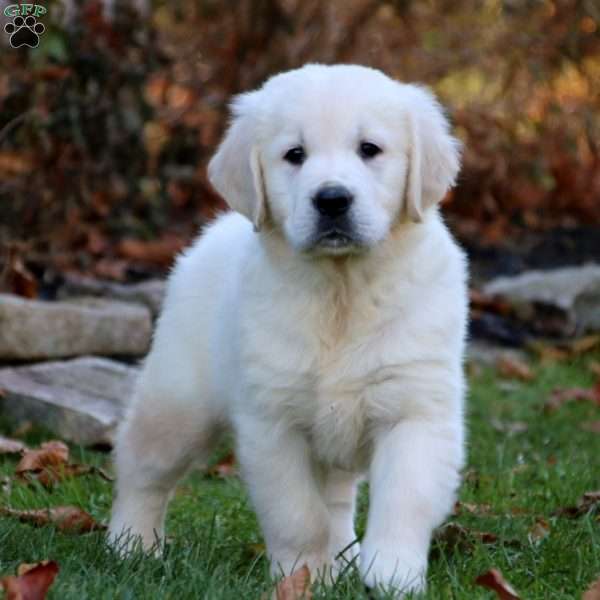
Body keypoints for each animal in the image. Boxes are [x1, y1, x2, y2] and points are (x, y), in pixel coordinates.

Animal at [111, 62, 468, 596]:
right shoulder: (273, 422)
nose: (332, 199)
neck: (342, 289)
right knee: (142, 468)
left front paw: (391, 574)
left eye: (370, 149)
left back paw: (346, 560)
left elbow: (403, 499)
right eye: (294, 155)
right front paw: (303, 575)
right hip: (177, 402)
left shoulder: (415, 407)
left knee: (338, 500)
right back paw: (131, 544)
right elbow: (298, 515)